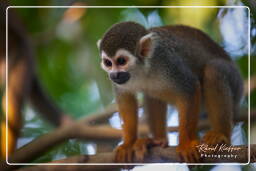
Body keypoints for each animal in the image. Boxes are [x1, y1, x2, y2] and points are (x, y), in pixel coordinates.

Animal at [97, 21, 243, 163]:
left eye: (121, 61)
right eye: (108, 63)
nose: (114, 75)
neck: (142, 69)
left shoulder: (167, 62)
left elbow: (190, 88)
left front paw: (185, 144)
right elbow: (126, 100)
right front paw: (128, 144)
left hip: (235, 82)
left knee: (213, 71)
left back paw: (220, 134)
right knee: (152, 93)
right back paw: (157, 140)